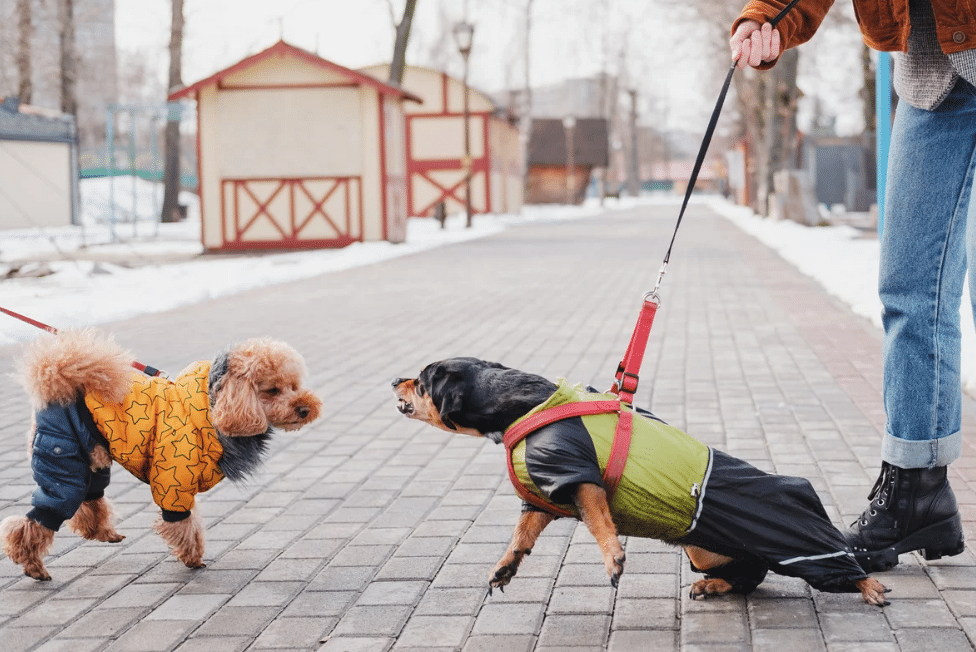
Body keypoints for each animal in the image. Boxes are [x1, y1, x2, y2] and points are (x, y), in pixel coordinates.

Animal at [3, 332, 324, 580]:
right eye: (272, 390)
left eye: (294, 385)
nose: (305, 408)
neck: (213, 407)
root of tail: (56, 386)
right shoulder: (174, 478)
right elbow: (183, 523)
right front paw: (192, 557)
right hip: (62, 455)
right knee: (41, 515)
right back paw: (32, 565)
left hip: (91, 458)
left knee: (88, 499)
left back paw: (103, 533)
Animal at [392, 356, 888, 608]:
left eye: (421, 381)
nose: (395, 378)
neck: (523, 405)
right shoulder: (546, 495)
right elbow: (521, 536)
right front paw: (505, 567)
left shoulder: (578, 478)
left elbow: (598, 523)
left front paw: (614, 559)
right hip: (704, 550)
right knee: (749, 576)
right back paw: (713, 586)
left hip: (802, 545)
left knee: (841, 567)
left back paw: (870, 588)